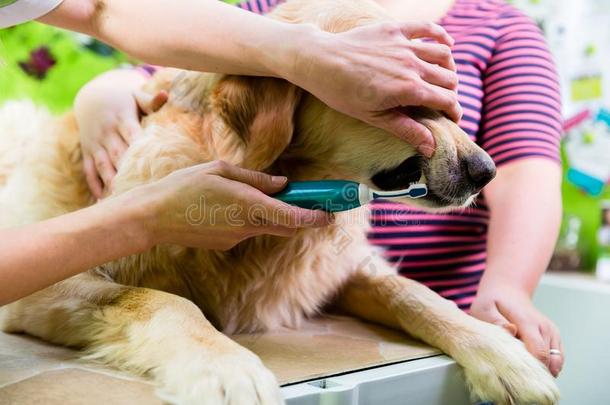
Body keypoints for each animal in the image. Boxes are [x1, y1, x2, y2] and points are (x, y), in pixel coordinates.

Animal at [0, 0, 556, 404]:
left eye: (453, 106)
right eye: (406, 104)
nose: (486, 172)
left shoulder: (336, 271)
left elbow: (414, 293)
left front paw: (504, 354)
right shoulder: (52, 288)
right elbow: (164, 301)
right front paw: (225, 368)